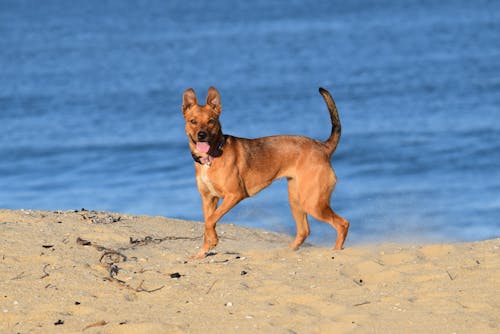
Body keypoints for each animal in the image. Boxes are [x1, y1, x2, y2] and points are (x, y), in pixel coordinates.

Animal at [182, 86, 350, 258]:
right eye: (192, 121)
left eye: (211, 121)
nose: (202, 135)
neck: (212, 156)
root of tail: (323, 147)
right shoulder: (208, 199)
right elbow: (208, 223)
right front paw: (203, 252)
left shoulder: (234, 195)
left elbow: (210, 221)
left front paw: (213, 241)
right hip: (296, 200)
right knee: (304, 231)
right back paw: (288, 251)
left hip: (313, 203)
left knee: (342, 223)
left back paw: (336, 250)